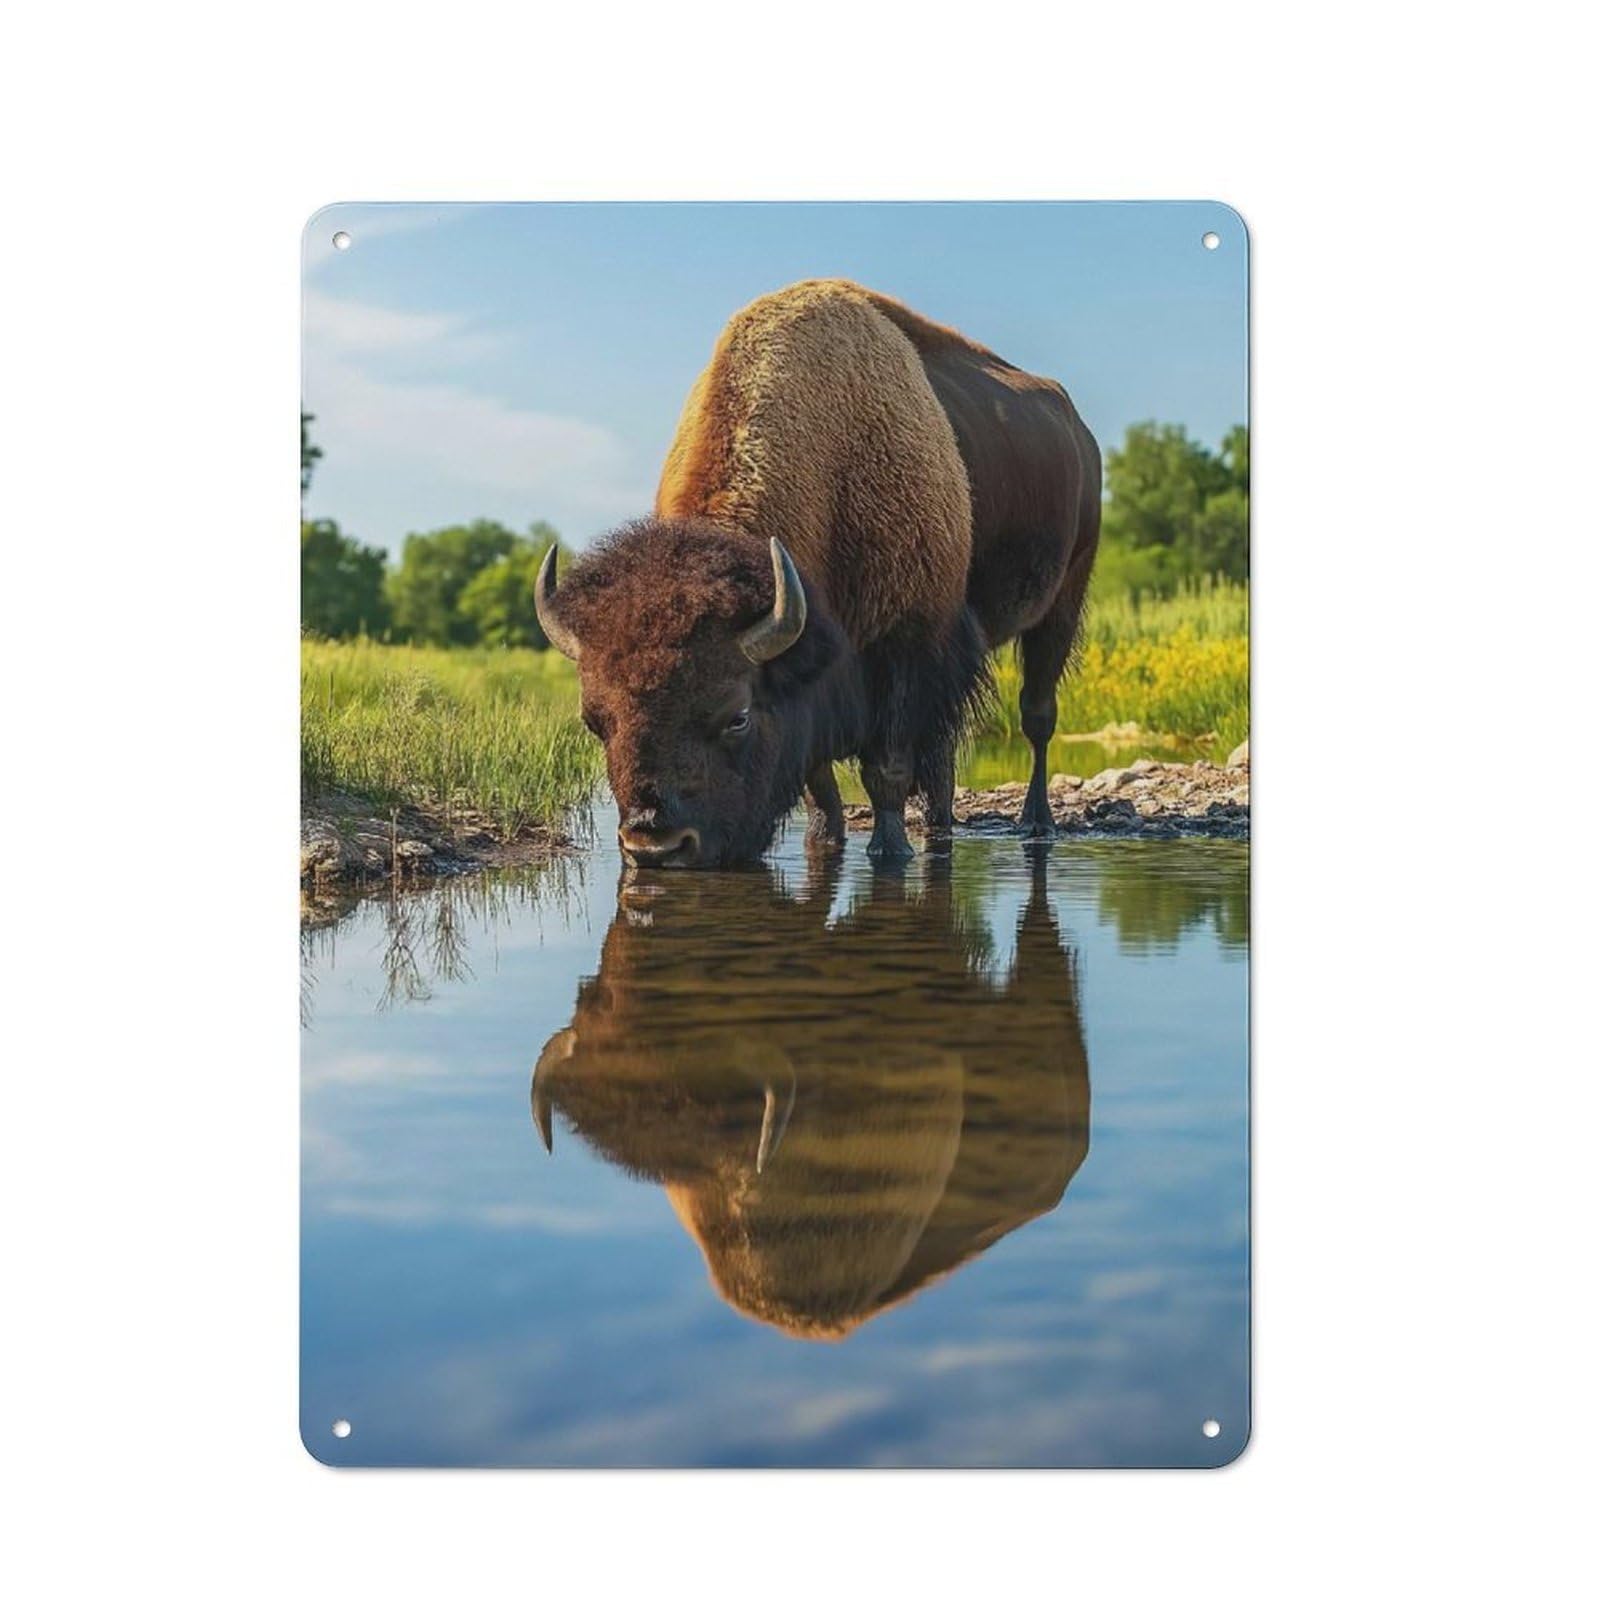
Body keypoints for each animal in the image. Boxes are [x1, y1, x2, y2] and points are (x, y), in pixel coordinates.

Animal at [537, 279, 1100, 867]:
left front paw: (889, 849)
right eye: (594, 720)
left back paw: (1036, 822)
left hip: (1063, 601)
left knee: (1037, 716)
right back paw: (940, 827)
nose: (654, 844)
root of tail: (1077, 429)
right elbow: (819, 781)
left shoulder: (904, 645)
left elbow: (886, 769)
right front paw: (826, 840)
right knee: (945, 754)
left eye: (737, 715)